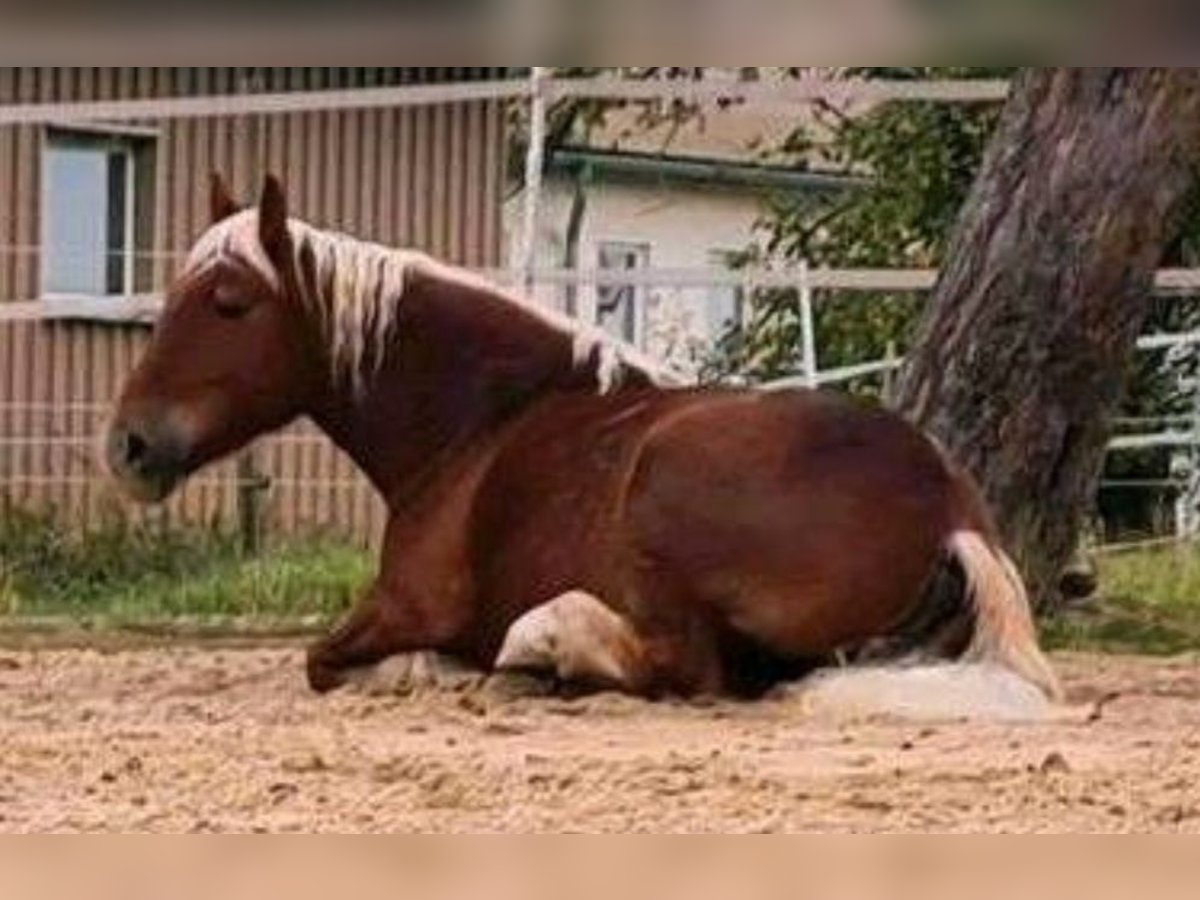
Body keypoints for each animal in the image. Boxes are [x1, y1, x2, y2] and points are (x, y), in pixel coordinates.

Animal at [103, 176, 1060, 720]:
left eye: (229, 302)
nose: (129, 446)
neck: (481, 422)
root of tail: (948, 507)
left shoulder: (401, 605)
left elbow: (324, 660)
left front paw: (432, 673)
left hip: (667, 493)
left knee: (683, 668)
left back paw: (545, 651)